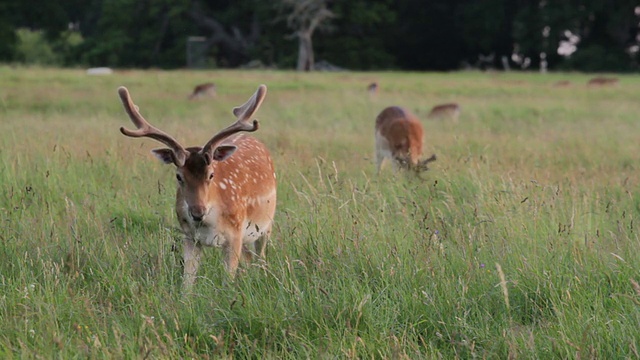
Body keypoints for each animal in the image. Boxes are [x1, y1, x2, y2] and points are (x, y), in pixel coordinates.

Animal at [117, 84, 276, 290]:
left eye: (211, 174)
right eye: (178, 176)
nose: (197, 212)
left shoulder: (235, 234)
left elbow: (227, 281)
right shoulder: (189, 236)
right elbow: (187, 283)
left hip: (266, 223)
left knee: (261, 258)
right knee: (249, 259)